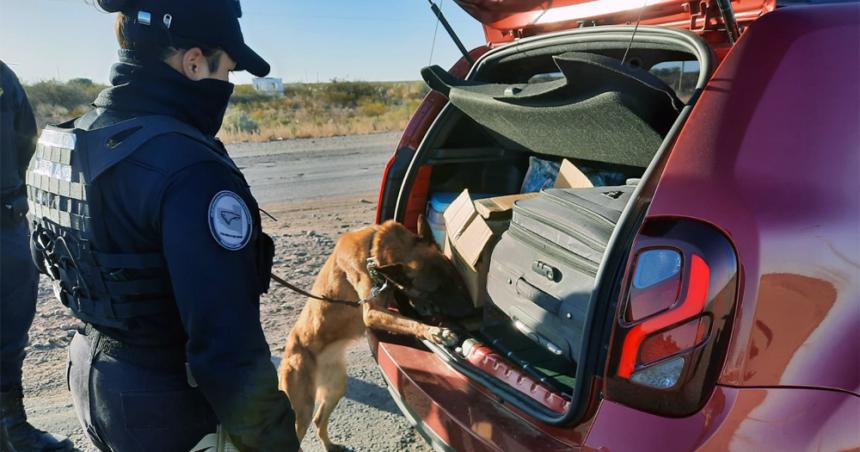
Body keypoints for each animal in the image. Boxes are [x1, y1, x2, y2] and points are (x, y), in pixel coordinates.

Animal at [280, 218, 470, 448]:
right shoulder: (370, 312)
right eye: (437, 289)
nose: (472, 311)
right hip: (302, 410)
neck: (375, 249)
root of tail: (289, 352)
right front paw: (437, 332)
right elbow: (409, 322)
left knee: (319, 420)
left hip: (336, 389)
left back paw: (330, 446)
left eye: (454, 277)